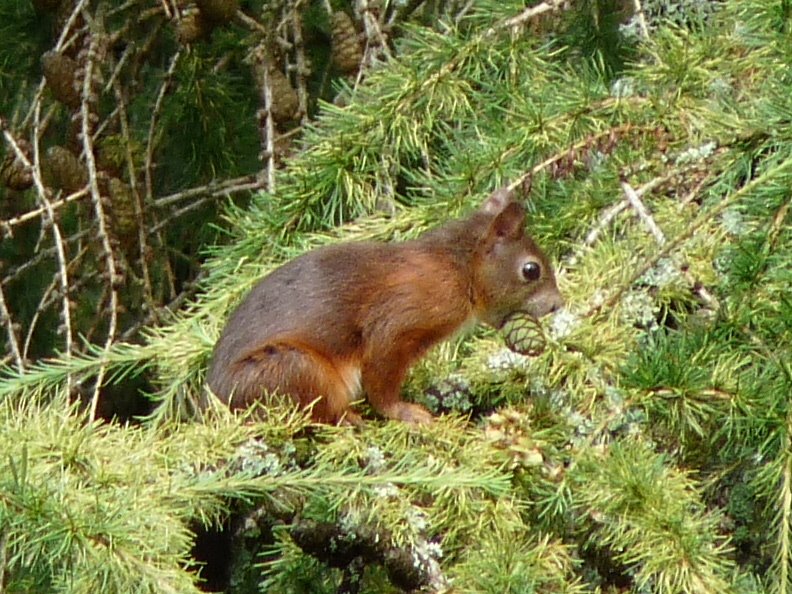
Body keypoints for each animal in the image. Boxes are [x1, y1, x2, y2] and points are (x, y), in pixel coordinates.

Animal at [207, 187, 560, 424]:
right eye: (531, 270)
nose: (558, 305)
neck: (457, 270)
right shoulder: (397, 323)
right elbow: (380, 380)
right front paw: (405, 412)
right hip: (294, 368)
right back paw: (348, 419)